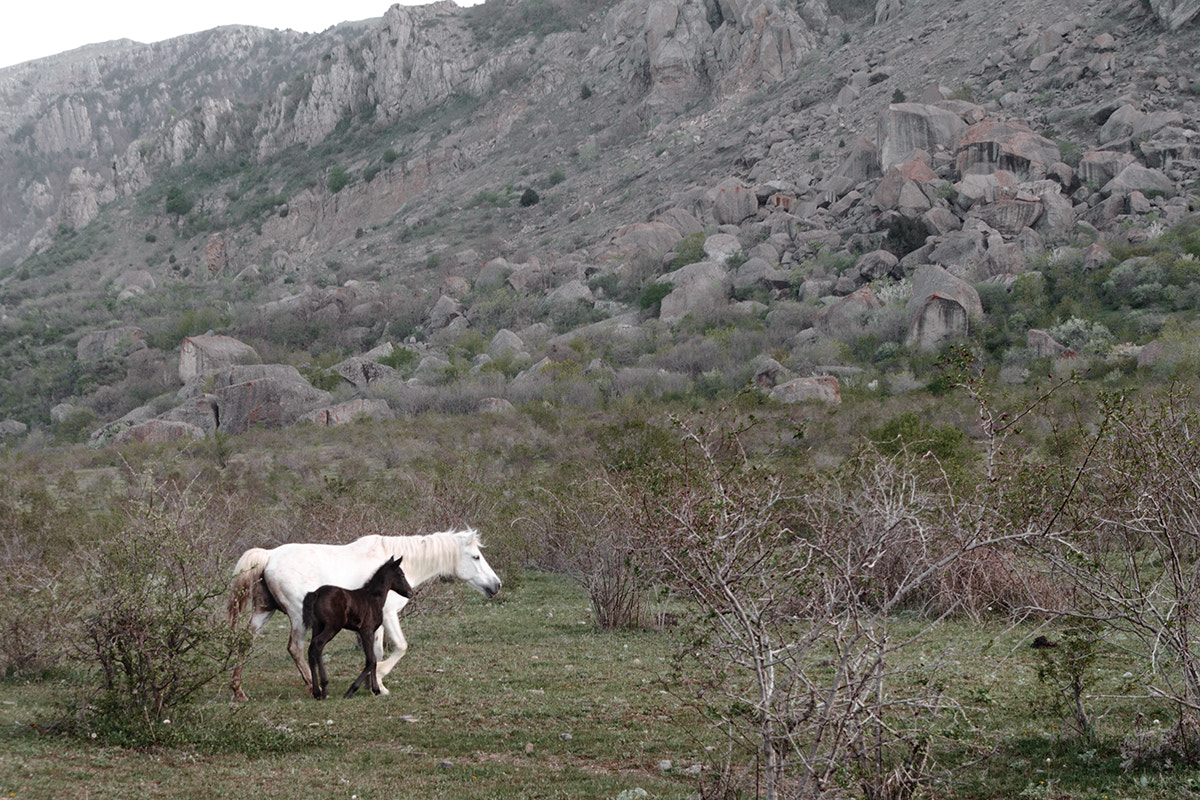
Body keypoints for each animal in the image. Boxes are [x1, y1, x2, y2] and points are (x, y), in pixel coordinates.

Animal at [226, 527, 499, 695]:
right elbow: (398, 648)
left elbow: (376, 652)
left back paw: (238, 691)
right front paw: (379, 680)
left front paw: (373, 684)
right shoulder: (388, 616)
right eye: (476, 557)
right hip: (297, 617)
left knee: (245, 642)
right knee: (296, 648)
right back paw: (312, 687)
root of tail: (269, 556)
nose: (496, 585)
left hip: (263, 612)